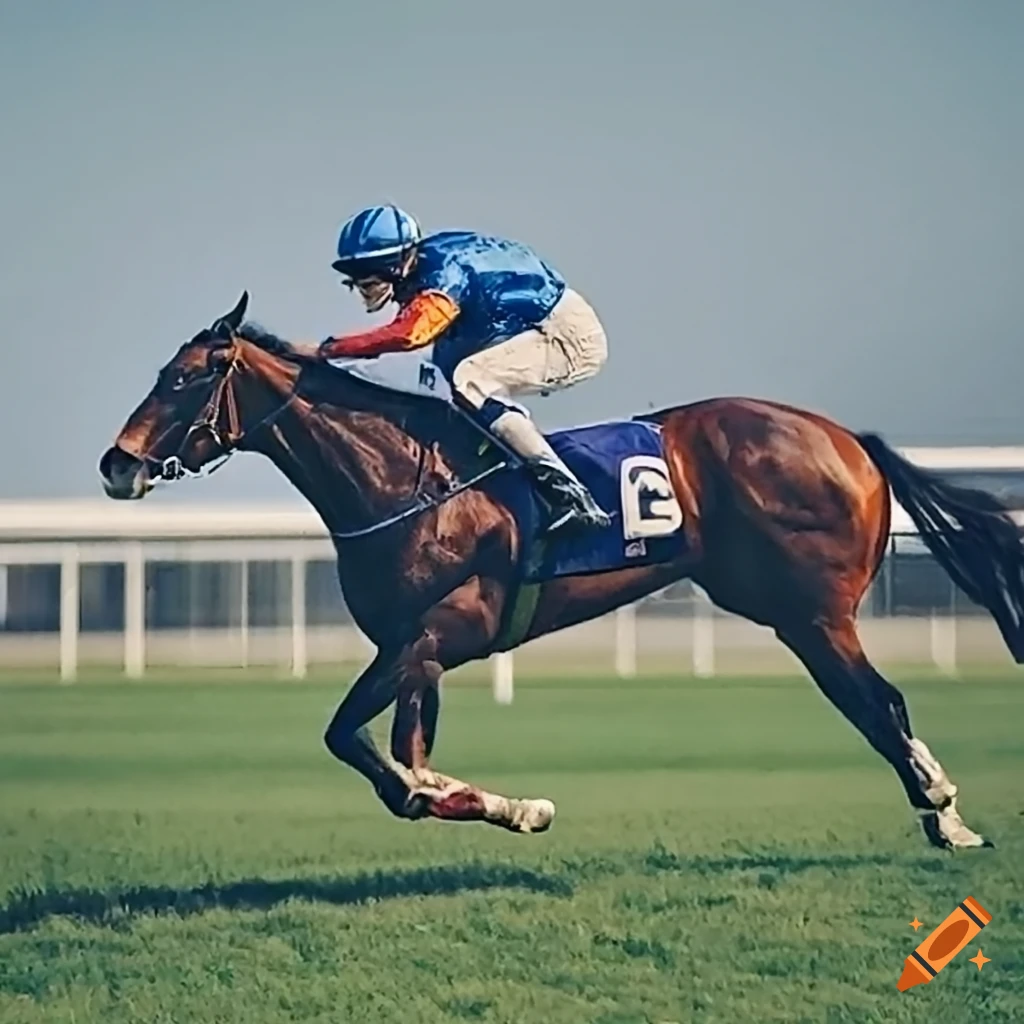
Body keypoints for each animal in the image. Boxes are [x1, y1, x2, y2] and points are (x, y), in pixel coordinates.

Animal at [99, 293, 1024, 849]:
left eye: (183, 378)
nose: (116, 466)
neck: (402, 478)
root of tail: (846, 439)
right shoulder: (419, 650)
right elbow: (403, 770)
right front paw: (510, 806)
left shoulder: (436, 633)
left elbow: (356, 743)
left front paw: (493, 802)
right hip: (790, 609)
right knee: (876, 706)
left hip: (809, 612)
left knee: (880, 703)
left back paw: (945, 815)